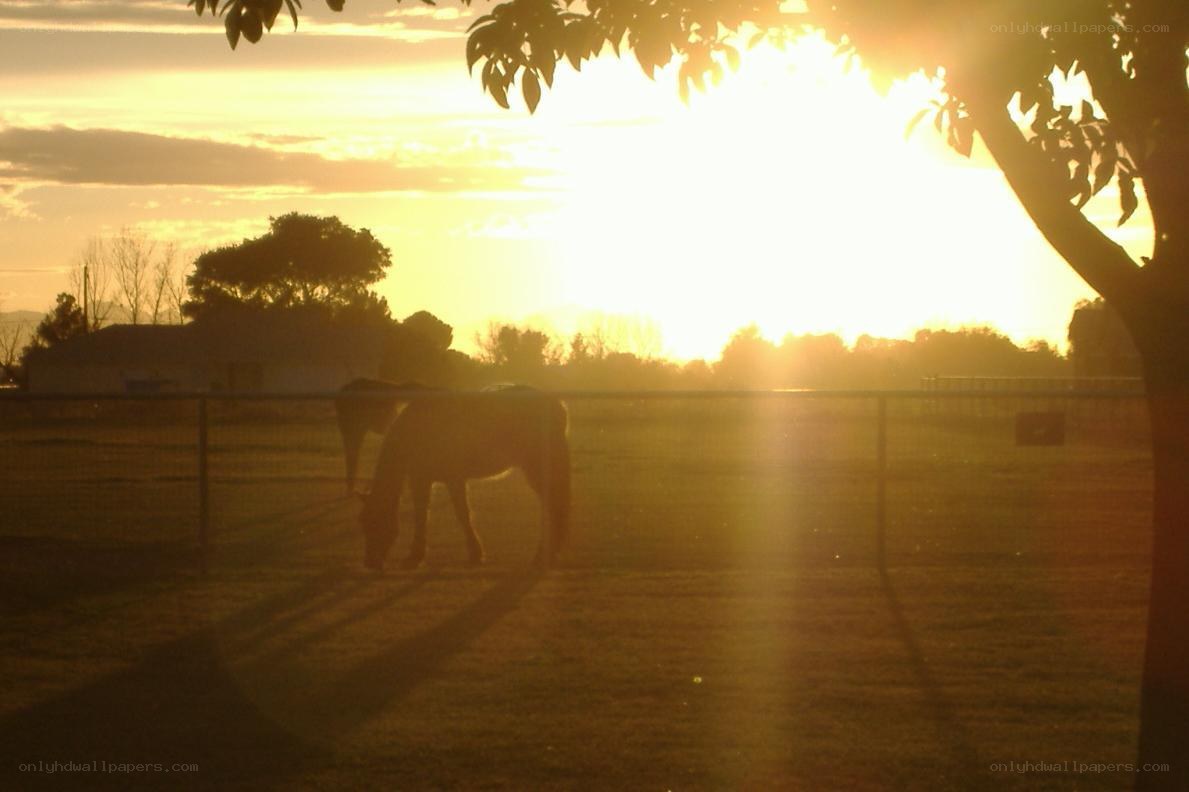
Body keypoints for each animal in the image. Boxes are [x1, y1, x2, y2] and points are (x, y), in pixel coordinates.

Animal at [358, 386, 571, 570]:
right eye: (363, 522)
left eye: (375, 521)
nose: (370, 562)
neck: (418, 432)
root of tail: (555, 404)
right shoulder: (425, 480)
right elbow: (424, 514)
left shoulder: (450, 479)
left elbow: (460, 514)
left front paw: (473, 553)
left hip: (537, 470)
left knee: (552, 506)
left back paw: (543, 556)